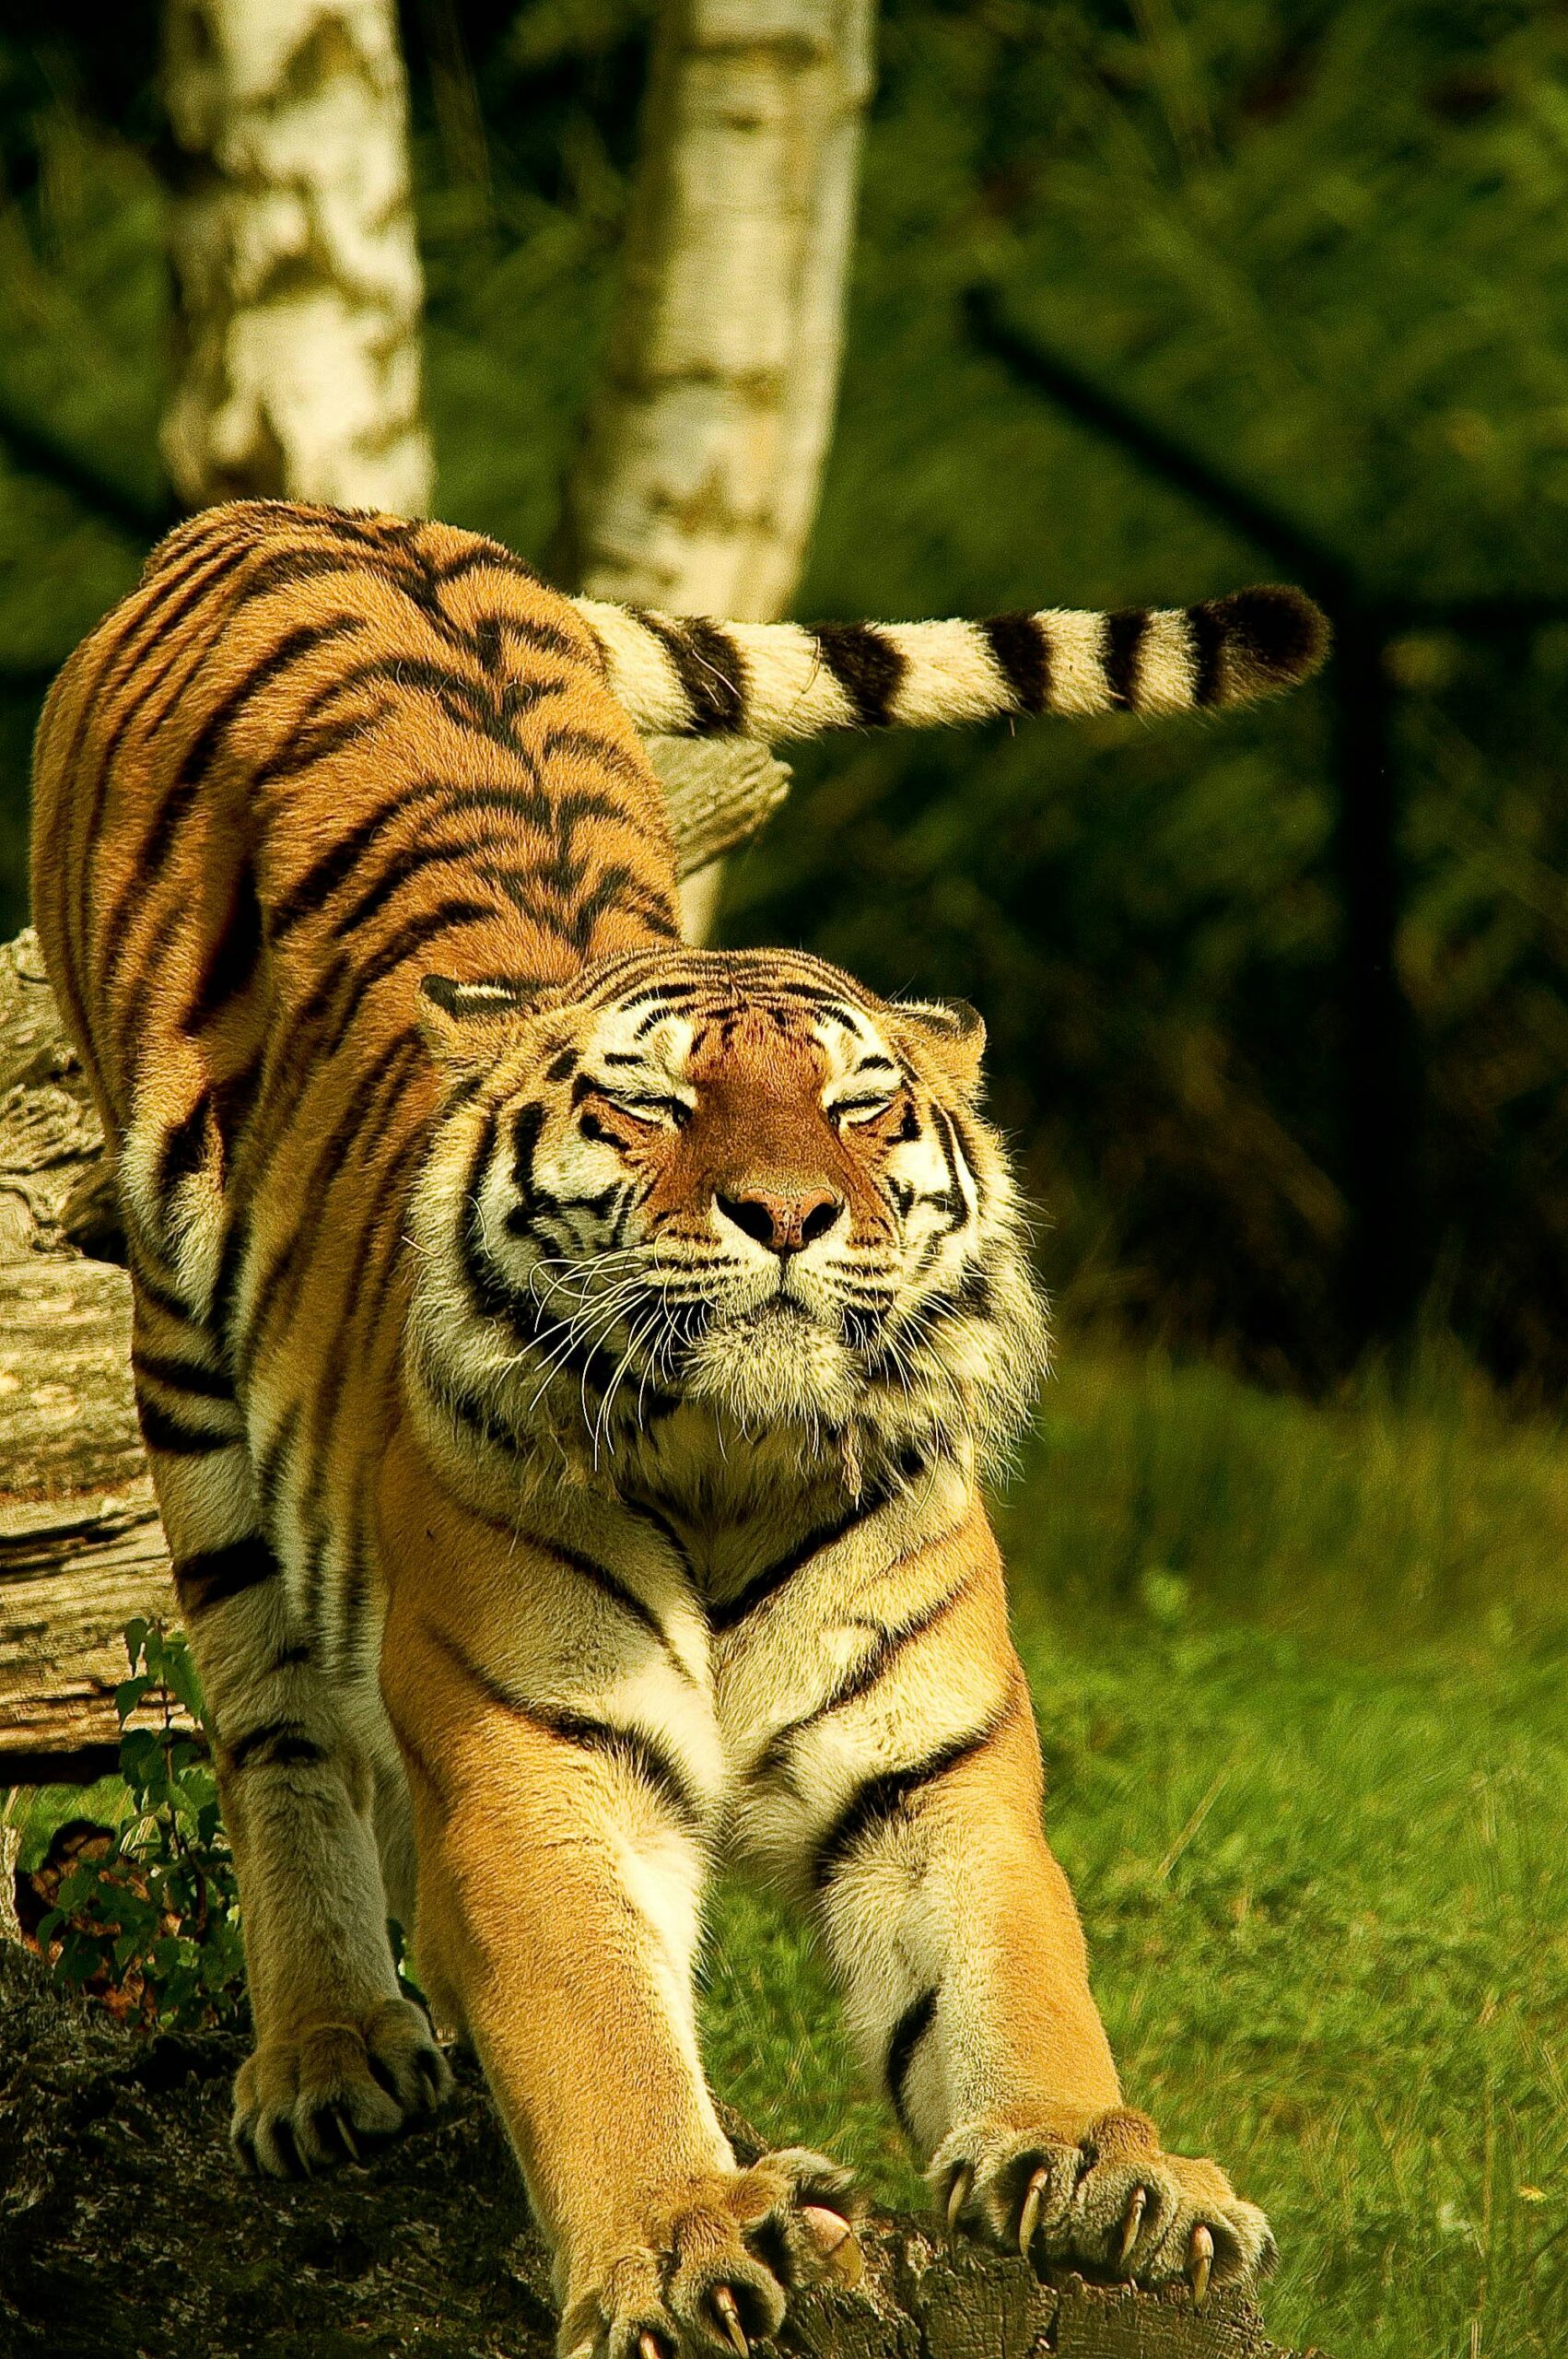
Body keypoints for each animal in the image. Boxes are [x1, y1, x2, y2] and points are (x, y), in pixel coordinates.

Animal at [33, 502, 1320, 2359]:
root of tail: (296, 513)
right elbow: (596, 2034)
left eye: (859, 1106)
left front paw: (1107, 2164)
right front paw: (677, 2234)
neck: (730, 1463)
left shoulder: (935, 1776)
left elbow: (1016, 1983)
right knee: (273, 1727)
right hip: (186, 1371)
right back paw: (330, 2056)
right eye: (653, 1103)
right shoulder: (537, 1767)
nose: (786, 1210)